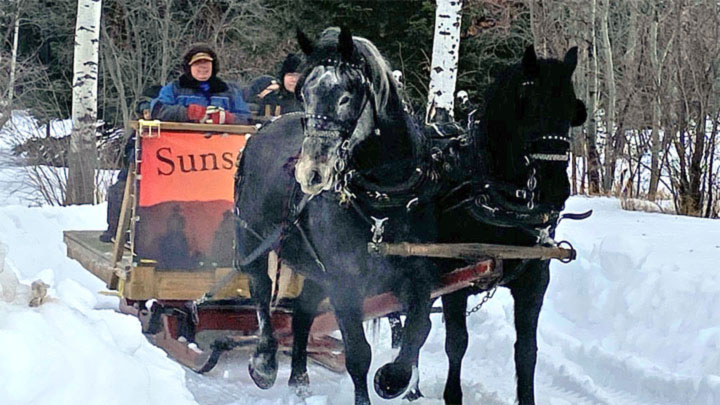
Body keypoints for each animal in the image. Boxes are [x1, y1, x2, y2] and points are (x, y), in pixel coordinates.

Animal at [234, 27, 440, 405]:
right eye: (304, 94)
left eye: (346, 96)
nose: (311, 173)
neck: (381, 202)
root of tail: (263, 128)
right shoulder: (345, 283)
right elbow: (358, 353)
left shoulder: (419, 274)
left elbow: (418, 329)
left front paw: (393, 380)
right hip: (251, 240)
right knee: (261, 292)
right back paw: (265, 363)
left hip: (316, 270)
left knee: (302, 314)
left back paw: (299, 380)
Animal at [435, 45, 588, 404]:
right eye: (528, 106)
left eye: (572, 110)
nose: (556, 189)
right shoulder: (453, 277)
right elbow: (456, 343)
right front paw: (451, 395)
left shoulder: (534, 281)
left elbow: (527, 352)